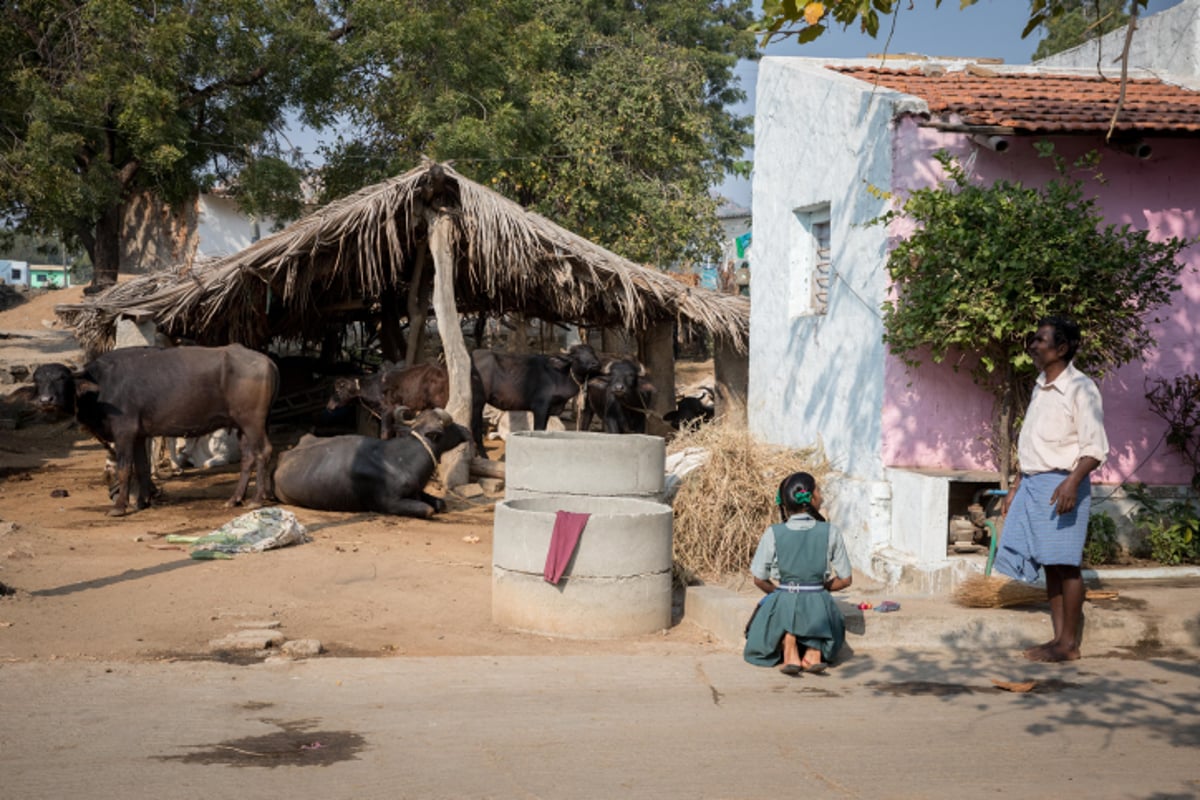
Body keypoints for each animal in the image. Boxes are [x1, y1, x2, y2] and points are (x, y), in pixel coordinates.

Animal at [32, 345, 278, 520]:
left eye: (62, 378)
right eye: (37, 380)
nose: (46, 400)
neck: (100, 386)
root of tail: (266, 361)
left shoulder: (124, 433)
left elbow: (125, 469)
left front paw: (120, 506)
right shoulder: (139, 436)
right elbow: (142, 468)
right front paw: (143, 502)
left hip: (253, 422)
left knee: (264, 452)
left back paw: (256, 499)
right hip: (243, 426)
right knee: (248, 457)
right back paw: (235, 499)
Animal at [274, 410, 470, 515]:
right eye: (451, 426)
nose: (467, 430)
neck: (402, 460)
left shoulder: (417, 491)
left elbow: (440, 503)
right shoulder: (390, 503)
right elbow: (428, 509)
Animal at [468, 345, 600, 455]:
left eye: (592, 352)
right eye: (576, 356)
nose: (595, 364)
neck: (559, 376)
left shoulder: (548, 410)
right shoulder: (540, 407)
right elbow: (538, 430)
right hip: (477, 402)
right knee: (475, 429)